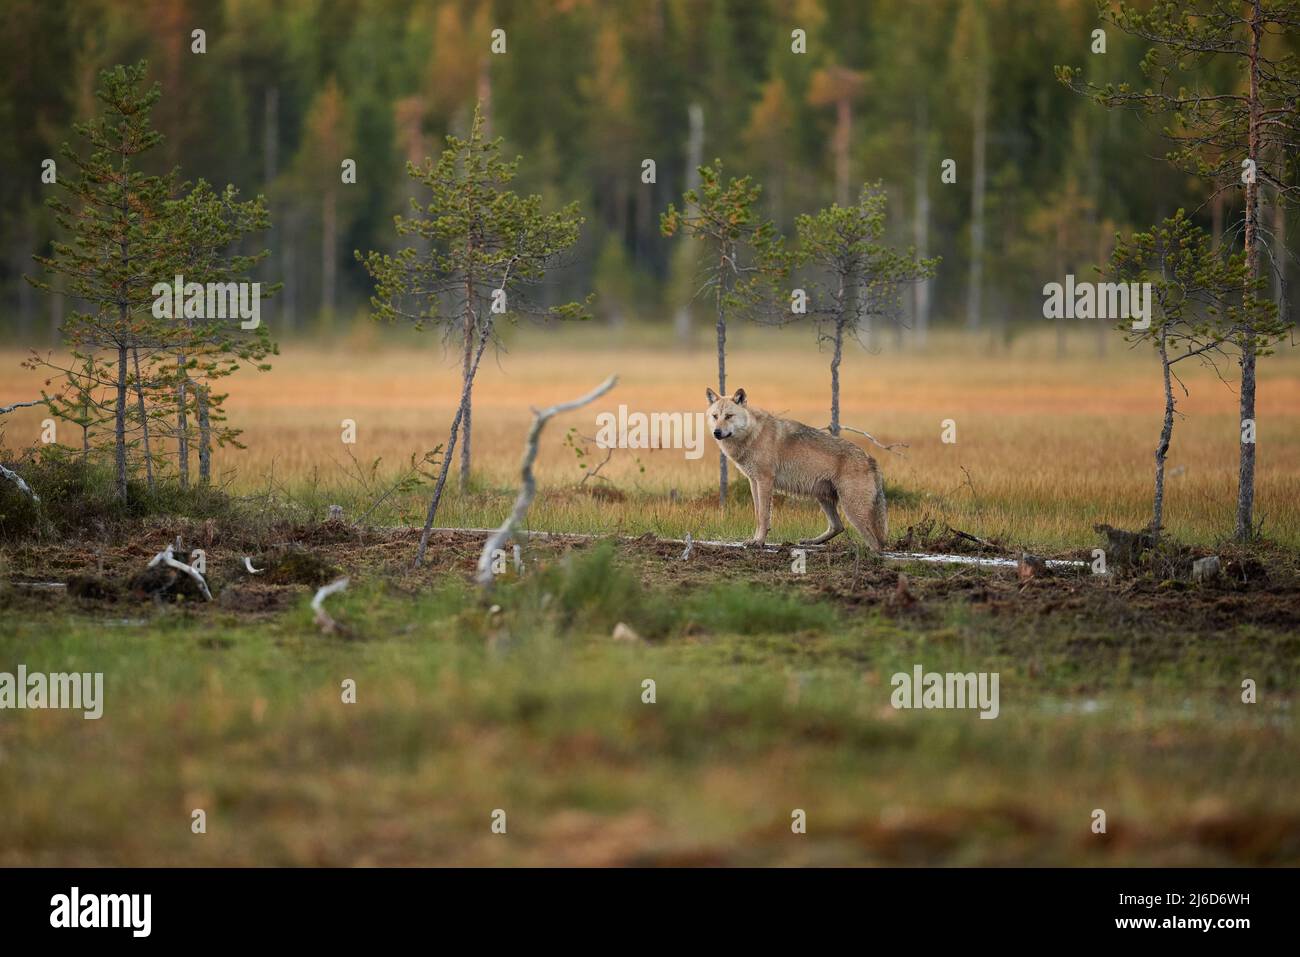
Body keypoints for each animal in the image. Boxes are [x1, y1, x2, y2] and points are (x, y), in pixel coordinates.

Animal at [707, 387, 889, 548]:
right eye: (715, 416)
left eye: (729, 416)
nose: (717, 432)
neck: (753, 434)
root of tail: (871, 459)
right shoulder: (754, 481)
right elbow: (758, 514)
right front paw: (755, 540)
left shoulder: (765, 481)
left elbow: (764, 515)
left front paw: (759, 542)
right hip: (823, 498)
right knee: (838, 526)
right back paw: (810, 541)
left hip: (852, 510)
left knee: (876, 544)